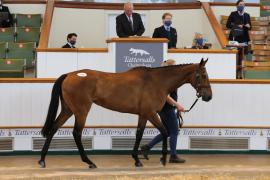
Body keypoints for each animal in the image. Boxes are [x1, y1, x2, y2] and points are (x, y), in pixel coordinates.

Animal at [38, 58, 212, 169]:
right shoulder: (150, 113)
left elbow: (139, 134)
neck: (156, 82)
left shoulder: (143, 115)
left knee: (53, 128)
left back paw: (42, 160)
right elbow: (164, 131)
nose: (208, 96)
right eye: (203, 75)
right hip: (81, 111)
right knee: (76, 133)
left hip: (68, 109)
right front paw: (162, 159)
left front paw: (137, 159)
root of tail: (69, 75)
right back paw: (89, 162)